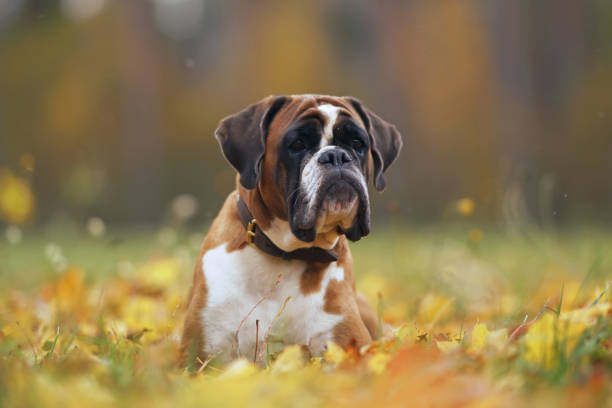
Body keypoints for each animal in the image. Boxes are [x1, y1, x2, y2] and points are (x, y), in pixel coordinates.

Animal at [182, 95, 402, 366]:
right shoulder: (197, 357)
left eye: (357, 144)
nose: (336, 156)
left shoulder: (348, 345)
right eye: (297, 144)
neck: (287, 254)